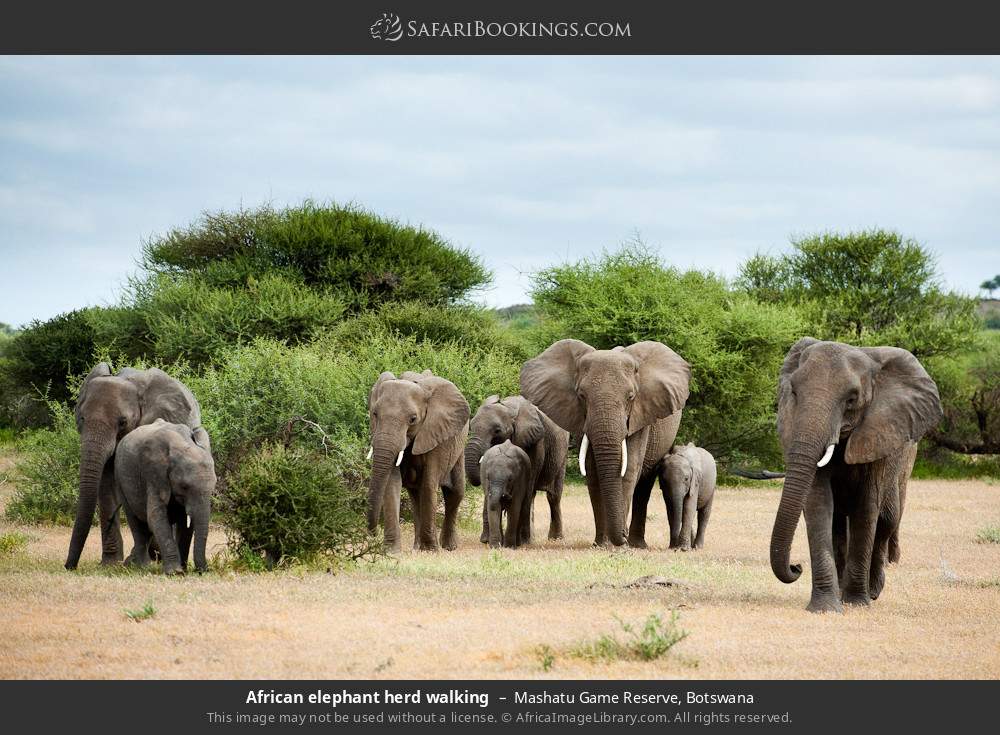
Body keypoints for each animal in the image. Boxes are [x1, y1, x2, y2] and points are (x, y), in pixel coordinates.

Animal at [113, 419, 216, 574]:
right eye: (184, 486)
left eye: (213, 486)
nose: (204, 570)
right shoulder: (153, 473)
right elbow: (155, 516)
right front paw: (175, 573)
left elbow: (186, 526)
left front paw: (183, 570)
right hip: (120, 479)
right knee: (137, 524)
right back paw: (141, 567)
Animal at [367, 369, 470, 553]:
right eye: (375, 414)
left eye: (413, 419)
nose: (374, 534)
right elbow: (392, 484)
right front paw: (391, 551)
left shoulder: (436, 432)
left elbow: (429, 485)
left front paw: (430, 550)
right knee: (415, 496)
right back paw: (417, 547)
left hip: (459, 447)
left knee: (455, 492)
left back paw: (448, 547)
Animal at [464, 395, 568, 545]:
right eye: (471, 426)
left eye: (497, 430)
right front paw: (486, 541)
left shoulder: (536, 443)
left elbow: (528, 483)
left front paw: (523, 542)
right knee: (533, 496)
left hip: (562, 455)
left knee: (553, 496)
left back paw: (554, 539)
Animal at [521, 339, 690, 548]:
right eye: (582, 396)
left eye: (631, 397)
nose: (622, 535)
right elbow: (593, 473)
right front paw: (602, 544)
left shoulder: (640, 417)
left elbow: (628, 470)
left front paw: (619, 545)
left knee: (644, 485)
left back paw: (637, 544)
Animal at [771, 338, 942, 613]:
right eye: (794, 393)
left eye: (851, 400)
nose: (796, 567)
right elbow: (818, 503)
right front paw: (826, 608)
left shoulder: (878, 433)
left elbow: (866, 506)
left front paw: (856, 603)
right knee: (838, 524)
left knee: (887, 519)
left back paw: (873, 591)